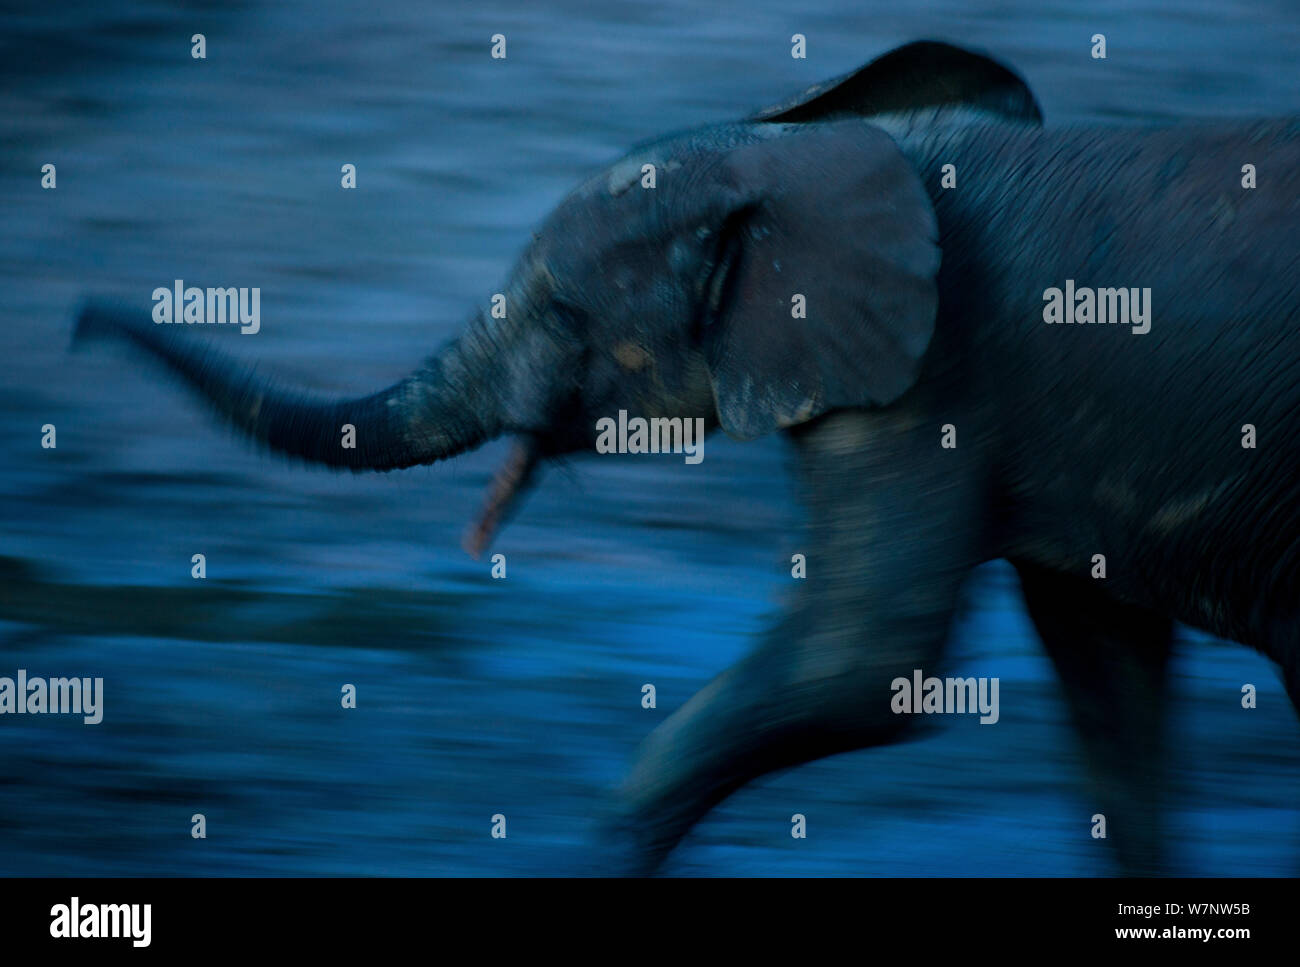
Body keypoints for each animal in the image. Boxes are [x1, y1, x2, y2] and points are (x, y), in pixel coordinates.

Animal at [78, 41, 1300, 878]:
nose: (82, 325)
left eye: (560, 314)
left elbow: (861, 669)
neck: (803, 149)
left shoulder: (934, 373)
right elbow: (1107, 682)